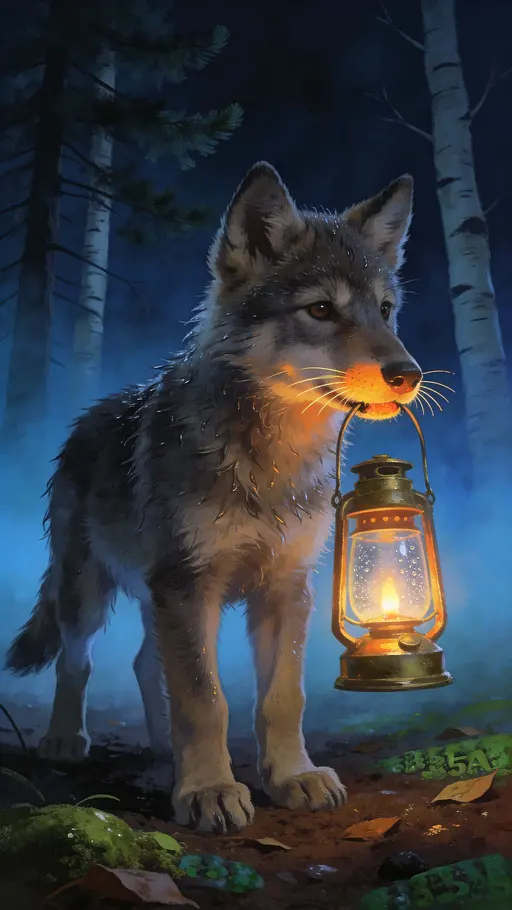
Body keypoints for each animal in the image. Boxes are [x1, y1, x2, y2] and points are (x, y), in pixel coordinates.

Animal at [6, 162, 422, 833]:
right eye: (321, 309)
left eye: (385, 311)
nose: (408, 374)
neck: (273, 463)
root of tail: (86, 416)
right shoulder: (188, 585)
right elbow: (206, 699)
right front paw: (209, 789)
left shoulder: (287, 587)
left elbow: (281, 696)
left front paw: (292, 776)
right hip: (86, 591)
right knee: (79, 661)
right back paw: (66, 739)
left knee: (145, 663)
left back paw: (159, 744)